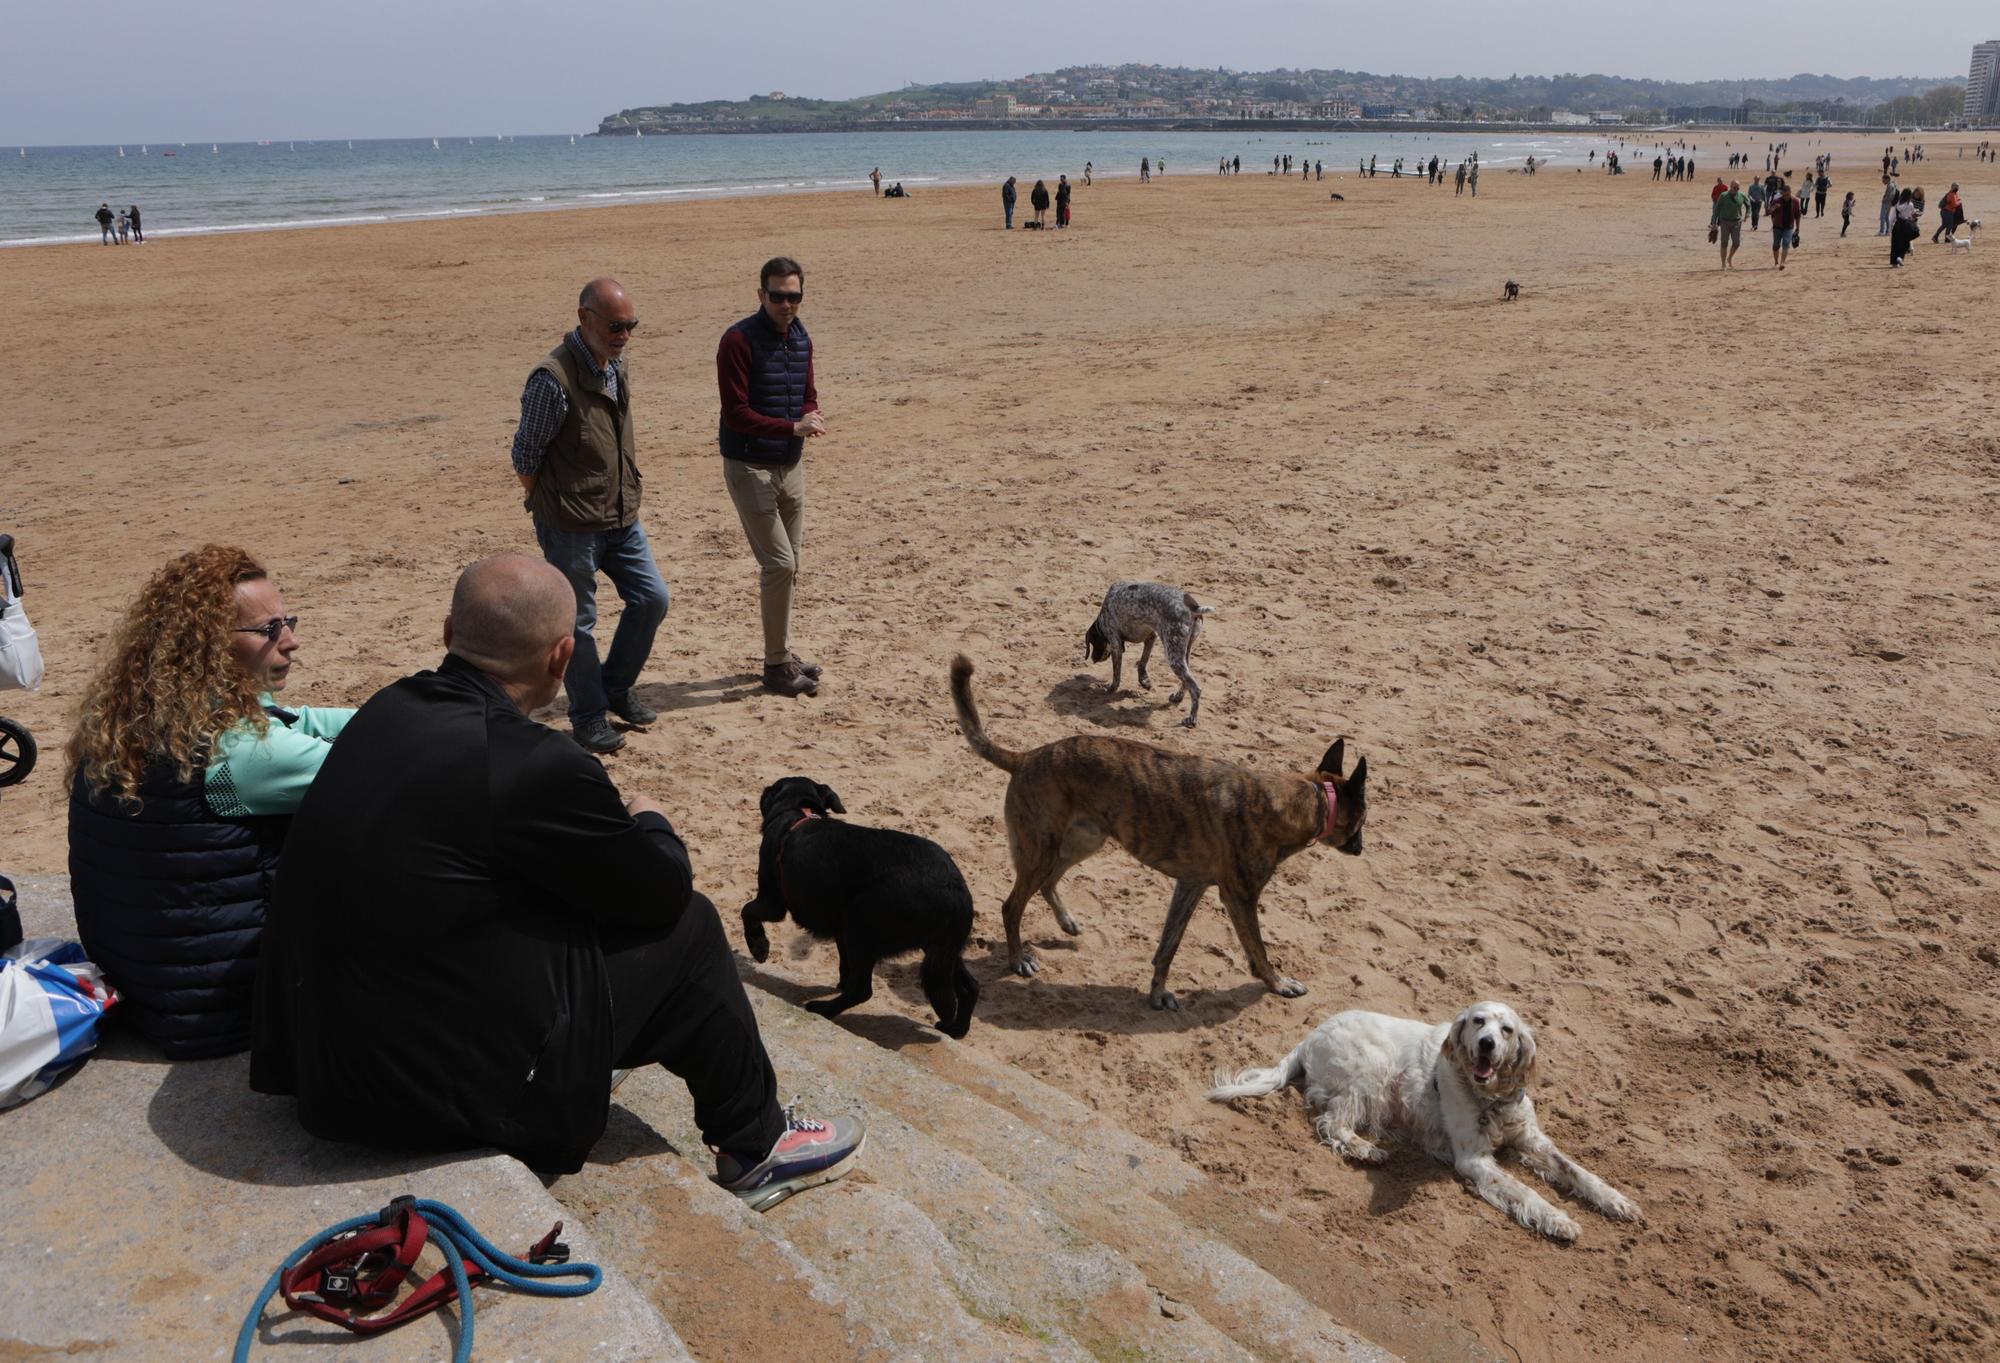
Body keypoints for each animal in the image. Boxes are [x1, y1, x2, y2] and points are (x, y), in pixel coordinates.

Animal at [740, 771, 980, 1031]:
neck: (797, 811)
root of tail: (958, 894)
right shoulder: (839, 928)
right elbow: (844, 960)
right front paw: (841, 982)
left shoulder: (771, 903)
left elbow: (747, 911)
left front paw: (758, 947)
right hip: (940, 949)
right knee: (970, 988)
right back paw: (955, 1030)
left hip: (862, 924)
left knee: (863, 990)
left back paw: (823, 1009)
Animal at [948, 651, 1360, 1003]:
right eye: (1363, 818)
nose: (1360, 849)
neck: (1292, 800)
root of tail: (1026, 757)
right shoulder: (1239, 898)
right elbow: (1257, 949)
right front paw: (1278, 983)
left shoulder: (1190, 885)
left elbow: (1168, 946)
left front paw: (1158, 992)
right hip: (1041, 851)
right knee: (1011, 906)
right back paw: (1018, 958)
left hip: (1080, 843)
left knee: (1048, 883)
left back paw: (1065, 921)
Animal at [1200, 991, 1640, 1239]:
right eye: (1478, 1021)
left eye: (1508, 1030)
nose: (1486, 1043)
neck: (1491, 1098)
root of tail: (1309, 1037)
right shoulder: (1474, 1160)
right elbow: (1526, 1191)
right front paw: (1560, 1220)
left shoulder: (1531, 1139)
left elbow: (1576, 1171)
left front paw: (1617, 1201)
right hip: (1370, 1069)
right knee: (1332, 1123)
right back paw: (1367, 1149)